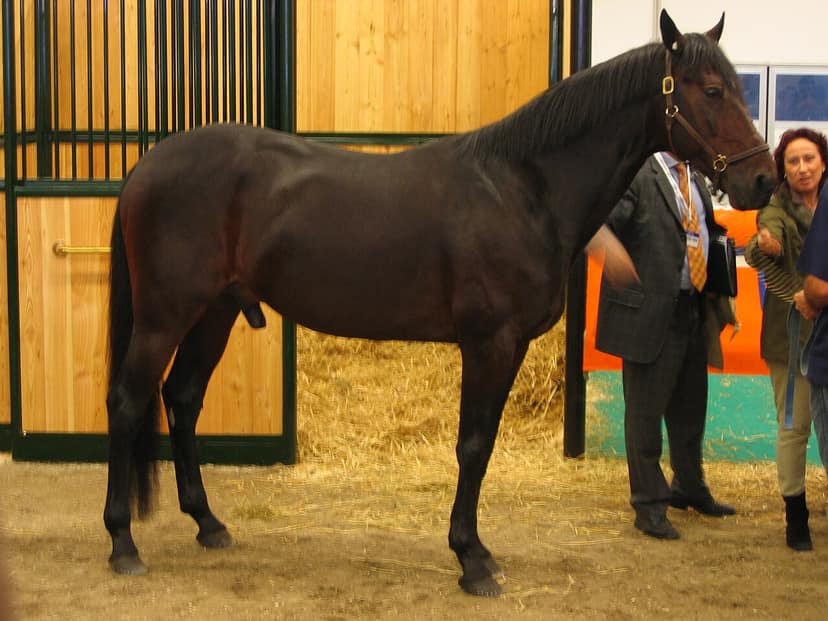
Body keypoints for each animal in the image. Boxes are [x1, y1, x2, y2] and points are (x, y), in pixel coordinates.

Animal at [104, 10, 775, 597]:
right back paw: (122, 543)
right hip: (164, 316)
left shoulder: (508, 347)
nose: (764, 180)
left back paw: (208, 524)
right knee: (130, 401)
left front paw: (477, 551)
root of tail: (146, 166)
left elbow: (482, 445)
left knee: (182, 399)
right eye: (712, 90)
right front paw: (471, 560)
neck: (522, 187)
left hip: (214, 312)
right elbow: (472, 447)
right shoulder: (489, 343)